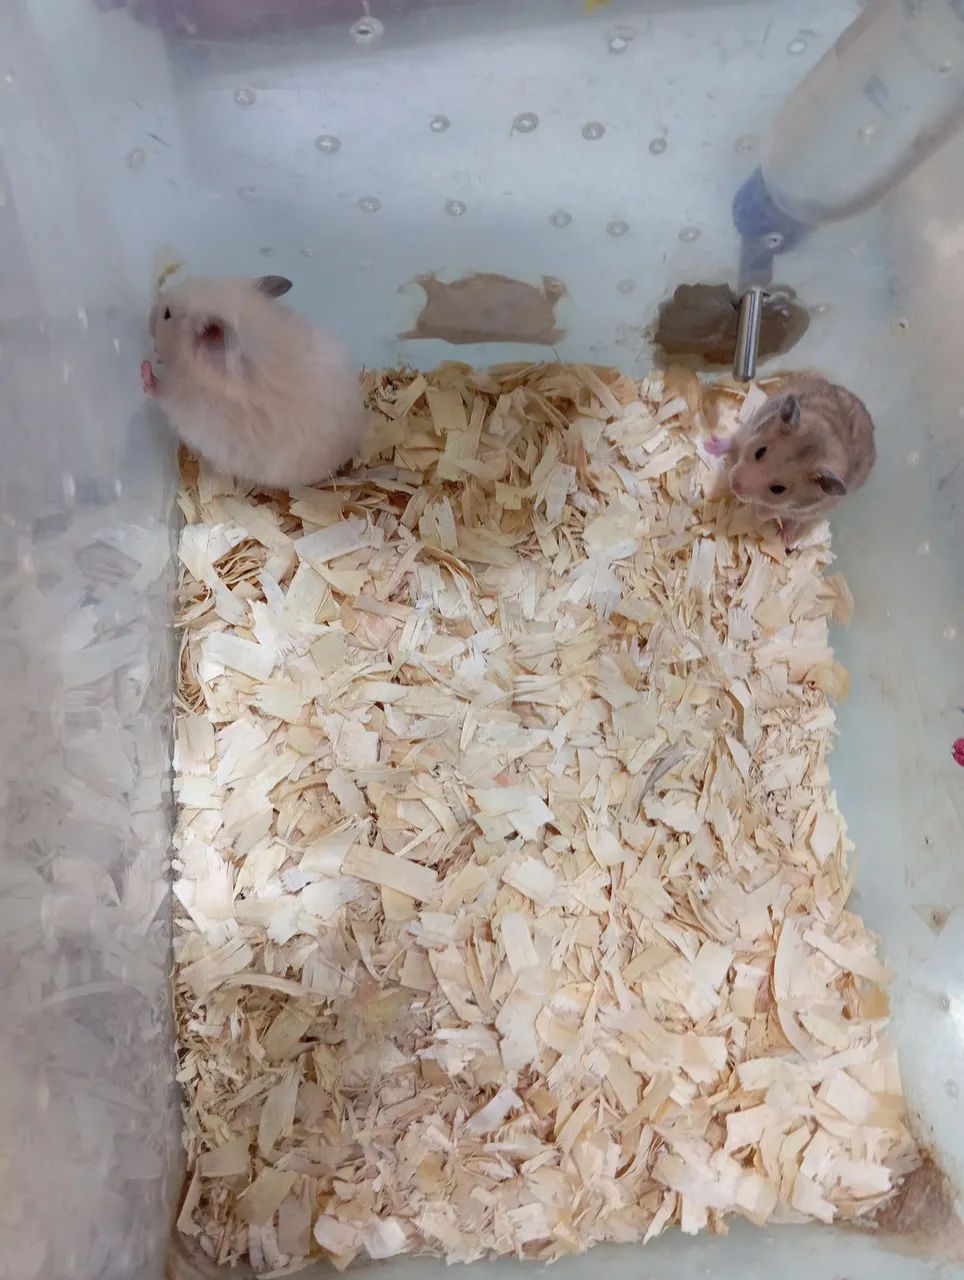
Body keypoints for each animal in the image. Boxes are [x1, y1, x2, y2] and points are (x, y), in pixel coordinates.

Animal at [705, 373, 876, 547]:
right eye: (759, 452)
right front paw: (710, 447)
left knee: (796, 522)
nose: (734, 485)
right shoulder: (751, 428)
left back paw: (786, 537)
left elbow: (774, 511)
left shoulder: (805, 509)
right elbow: (735, 442)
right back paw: (710, 446)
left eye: (778, 489)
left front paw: (761, 513)